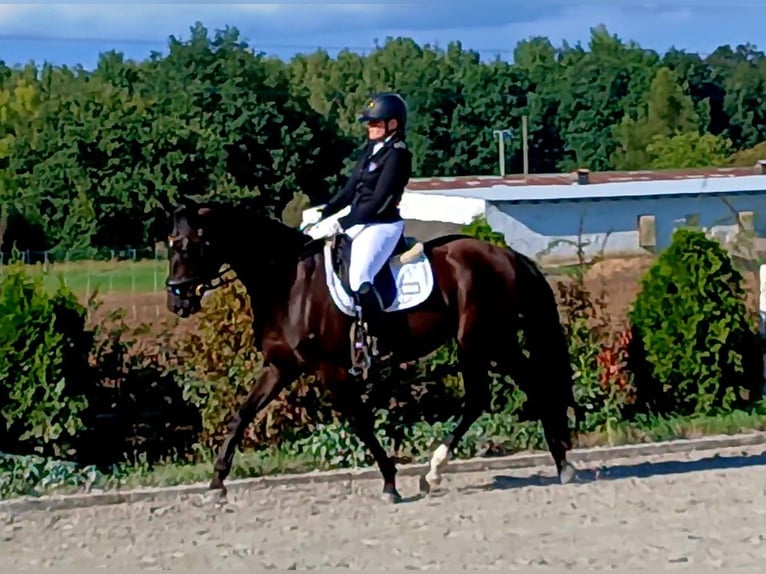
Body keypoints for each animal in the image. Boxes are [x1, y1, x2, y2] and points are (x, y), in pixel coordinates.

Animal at [164, 196, 579, 503]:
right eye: (170, 245)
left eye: (189, 244)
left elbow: (360, 422)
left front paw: (390, 483)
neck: (288, 281)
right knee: (524, 386)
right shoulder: (280, 367)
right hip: (496, 340)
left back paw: (436, 471)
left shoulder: (330, 369)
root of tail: (507, 256)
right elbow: (243, 414)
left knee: (483, 396)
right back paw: (559, 463)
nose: (176, 301)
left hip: (478, 339)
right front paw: (216, 484)